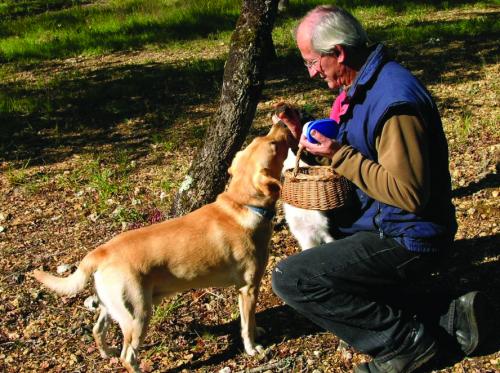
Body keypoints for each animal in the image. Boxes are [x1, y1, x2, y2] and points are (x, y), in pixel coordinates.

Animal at [32, 121, 290, 370]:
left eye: (261, 138)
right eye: (274, 145)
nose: (281, 121)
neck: (242, 205)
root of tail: (101, 252)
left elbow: (252, 322)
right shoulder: (248, 288)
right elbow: (246, 325)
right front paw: (252, 347)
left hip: (110, 307)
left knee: (98, 331)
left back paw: (106, 353)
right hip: (138, 315)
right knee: (128, 356)